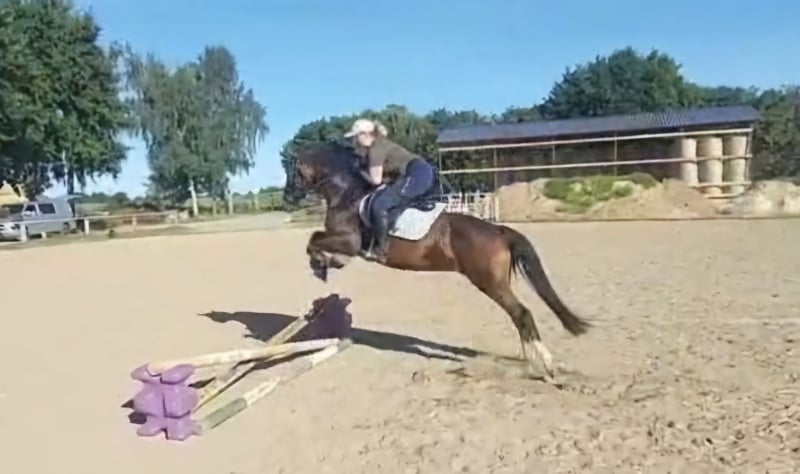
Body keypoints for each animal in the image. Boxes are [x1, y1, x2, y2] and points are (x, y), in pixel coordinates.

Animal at [284, 143, 591, 381]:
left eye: (295, 170)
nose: (287, 196)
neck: (347, 194)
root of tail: (498, 231)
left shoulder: (349, 241)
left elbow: (313, 240)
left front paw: (320, 266)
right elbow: (317, 240)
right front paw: (329, 263)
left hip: (489, 282)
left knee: (521, 313)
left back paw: (544, 366)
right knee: (520, 316)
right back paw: (536, 363)